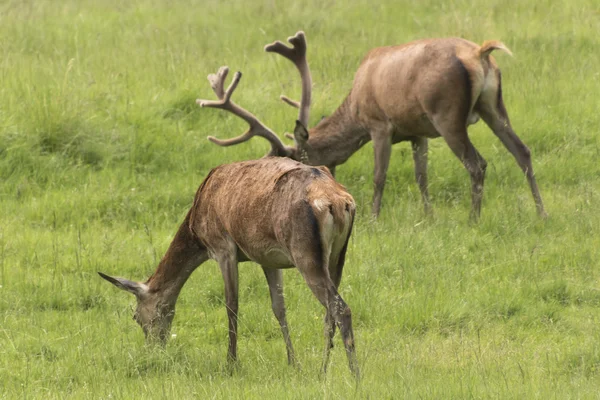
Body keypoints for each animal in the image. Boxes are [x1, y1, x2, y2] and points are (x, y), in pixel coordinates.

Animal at [99, 132, 358, 376]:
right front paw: (293, 363)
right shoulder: (268, 257)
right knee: (329, 312)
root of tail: (337, 201)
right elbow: (279, 307)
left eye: (136, 316)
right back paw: (323, 370)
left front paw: (231, 363)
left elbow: (231, 305)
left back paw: (352, 374)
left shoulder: (223, 247)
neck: (196, 228)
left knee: (340, 308)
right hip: (338, 254)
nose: (153, 350)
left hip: (304, 252)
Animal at [200, 30, 544, 220]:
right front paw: (428, 215)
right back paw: (541, 212)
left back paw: (474, 218)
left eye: (291, 161)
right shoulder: (417, 132)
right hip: (493, 105)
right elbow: (422, 176)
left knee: (477, 164)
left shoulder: (380, 125)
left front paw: (373, 218)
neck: (354, 109)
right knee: (523, 151)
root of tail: (479, 53)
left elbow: (380, 176)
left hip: (447, 114)